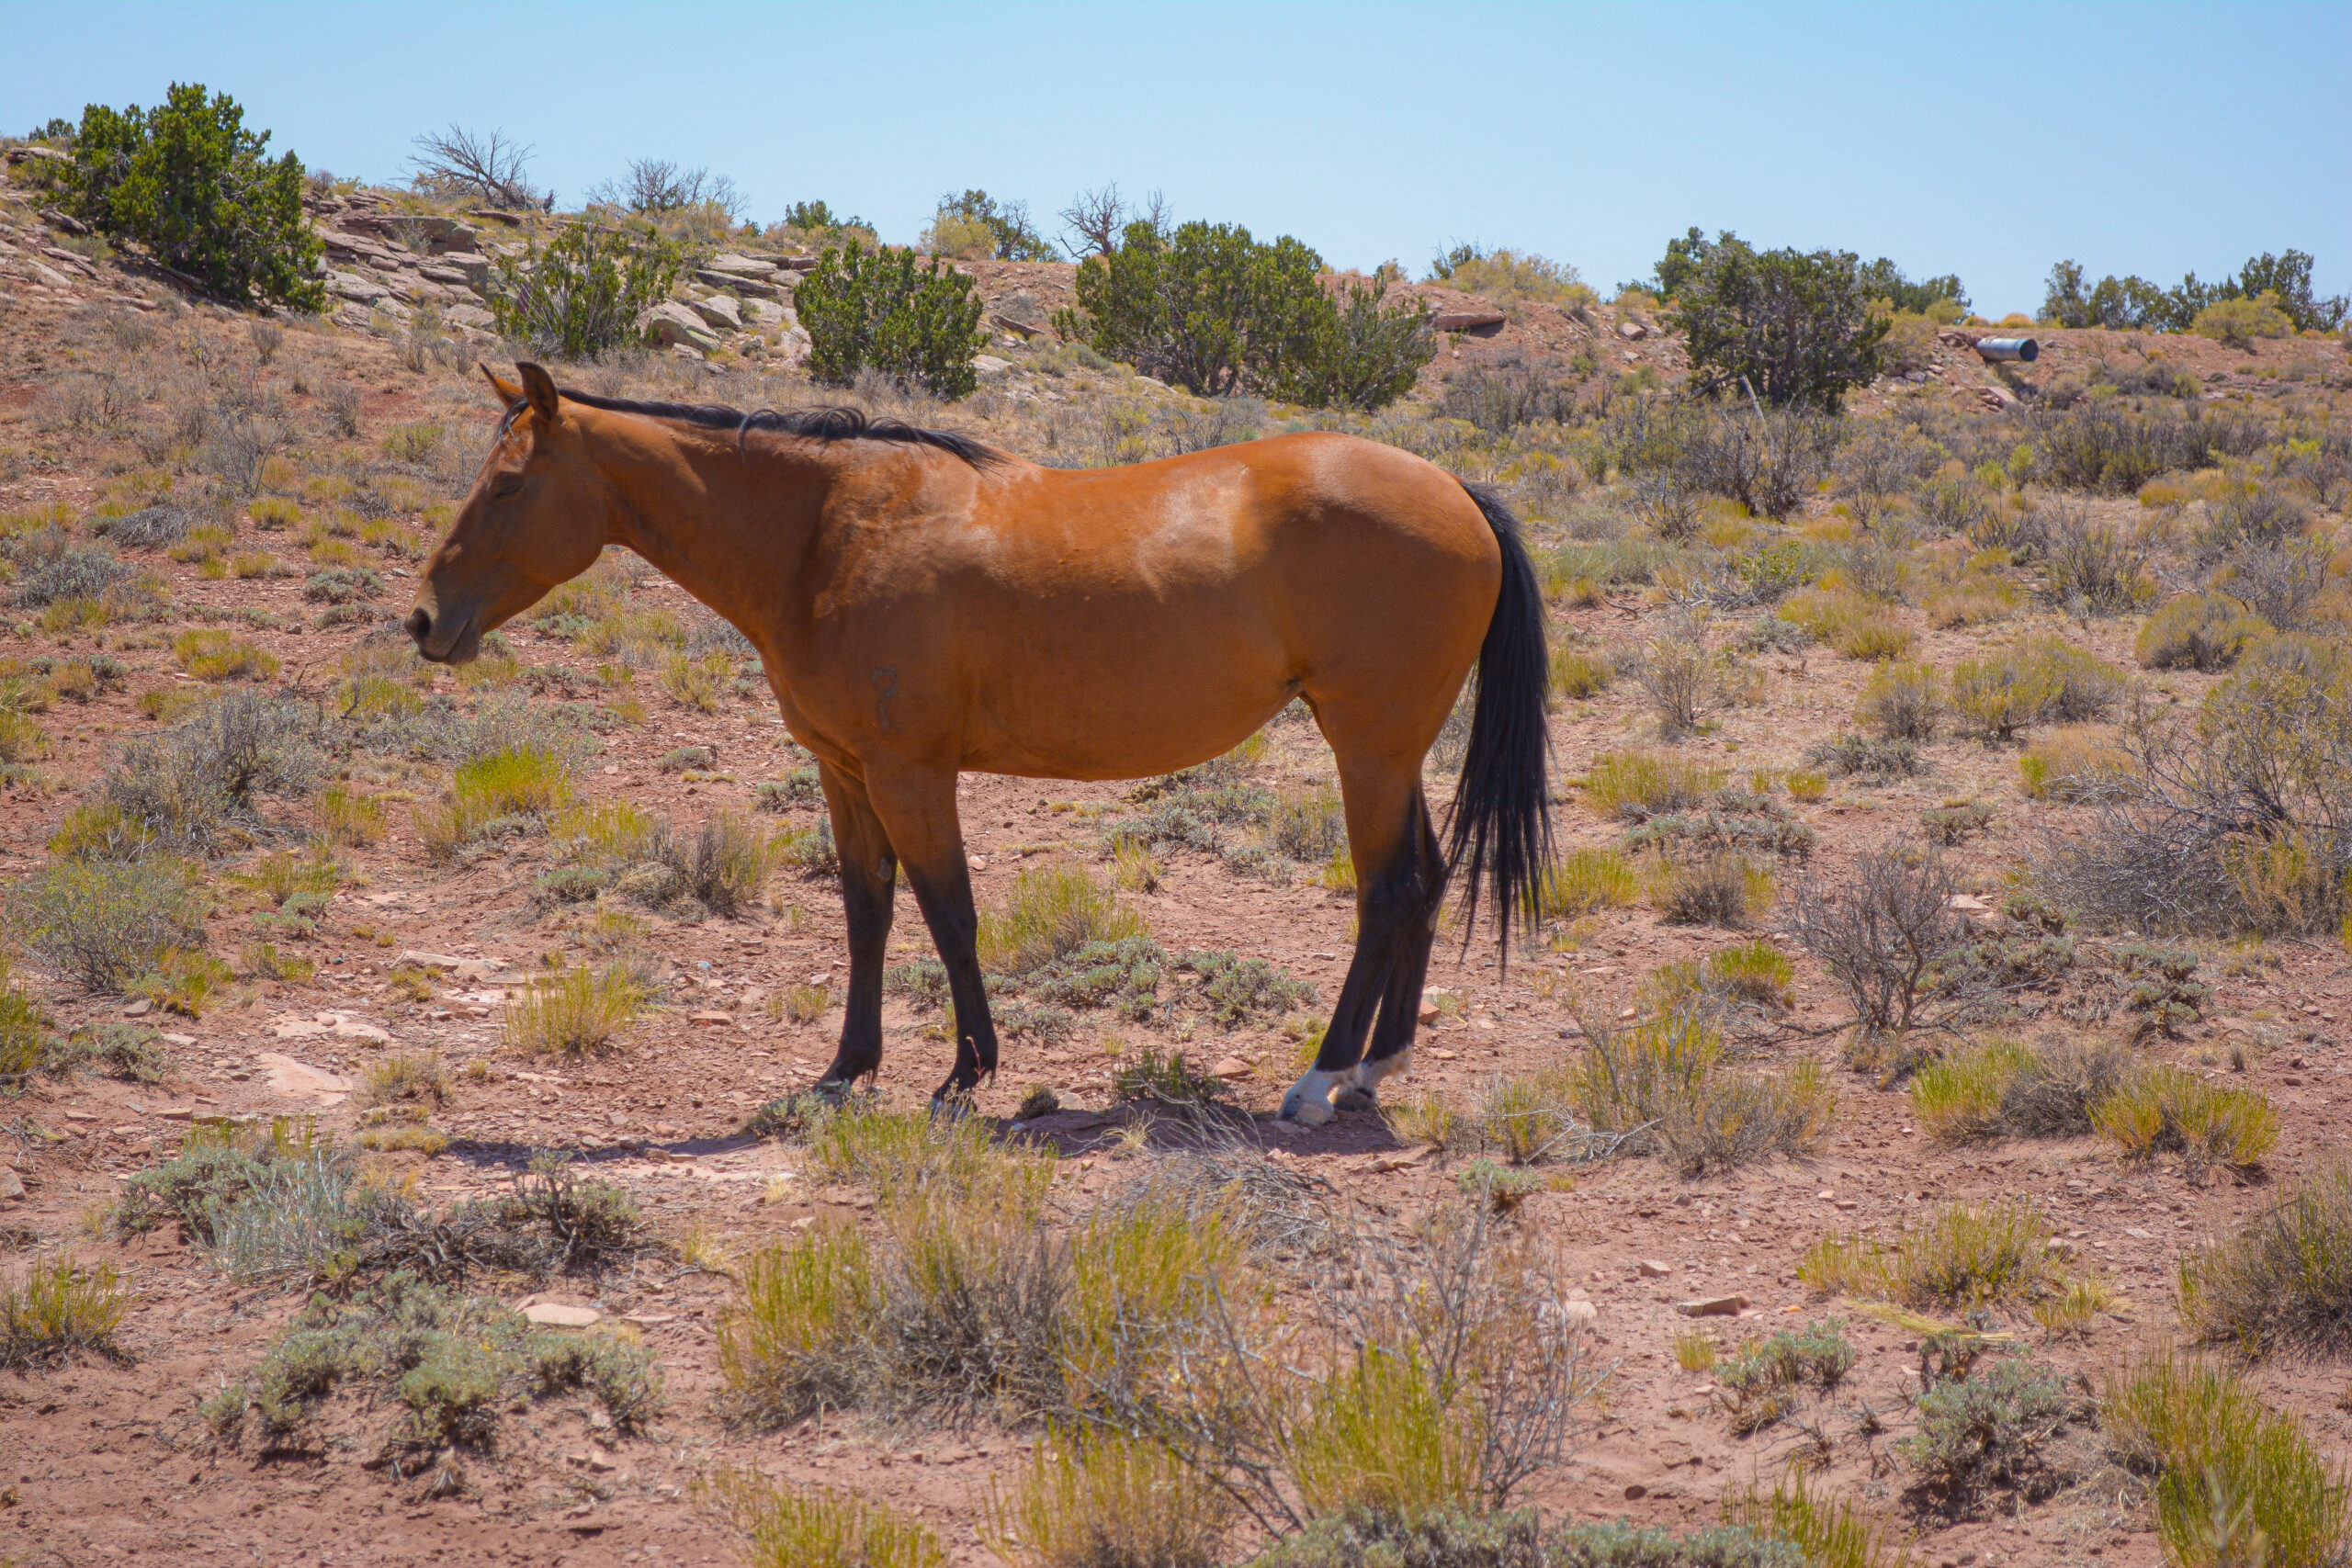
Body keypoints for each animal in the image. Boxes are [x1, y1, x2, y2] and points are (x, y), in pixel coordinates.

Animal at [408, 363, 1550, 1124]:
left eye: (507, 485)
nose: (423, 622)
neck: (824, 535)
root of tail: (1461, 494)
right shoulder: (843, 772)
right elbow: (868, 916)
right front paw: (844, 1072)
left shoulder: (911, 773)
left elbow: (947, 915)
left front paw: (964, 1075)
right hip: (1389, 751)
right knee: (1425, 880)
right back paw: (1375, 1069)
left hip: (1368, 746)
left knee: (1386, 893)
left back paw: (1317, 1080)